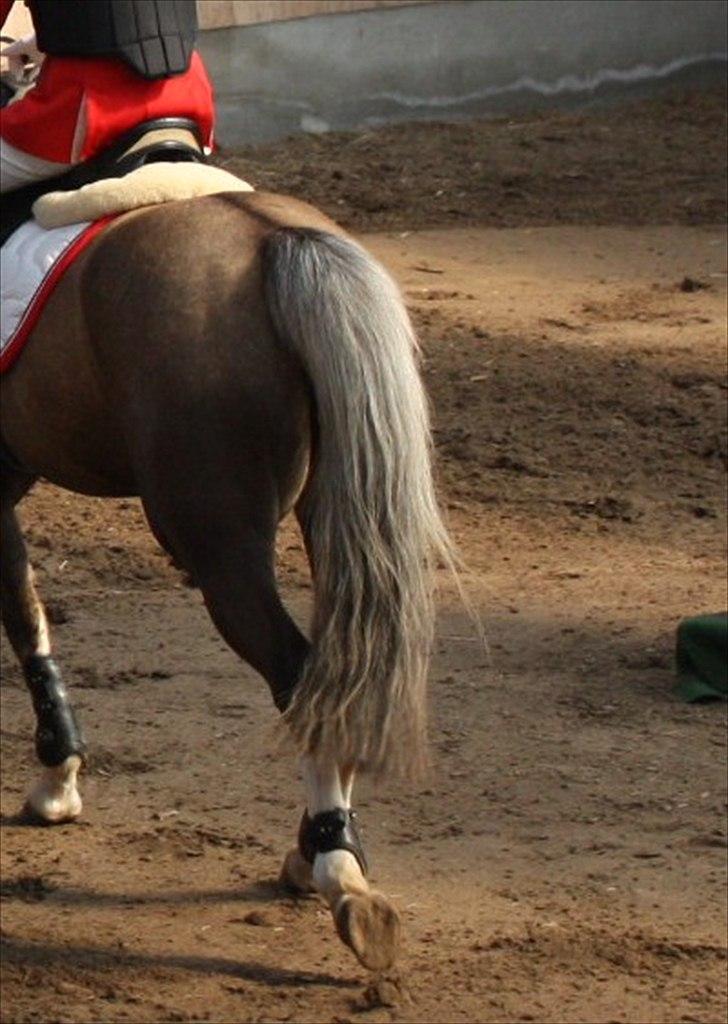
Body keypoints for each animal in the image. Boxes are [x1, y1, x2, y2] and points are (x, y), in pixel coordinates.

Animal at [0, 187, 453, 972]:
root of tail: (274, 237)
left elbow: (22, 615)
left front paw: (58, 777)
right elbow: (25, 606)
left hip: (217, 541)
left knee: (296, 671)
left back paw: (335, 868)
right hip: (333, 510)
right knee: (337, 671)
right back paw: (320, 852)